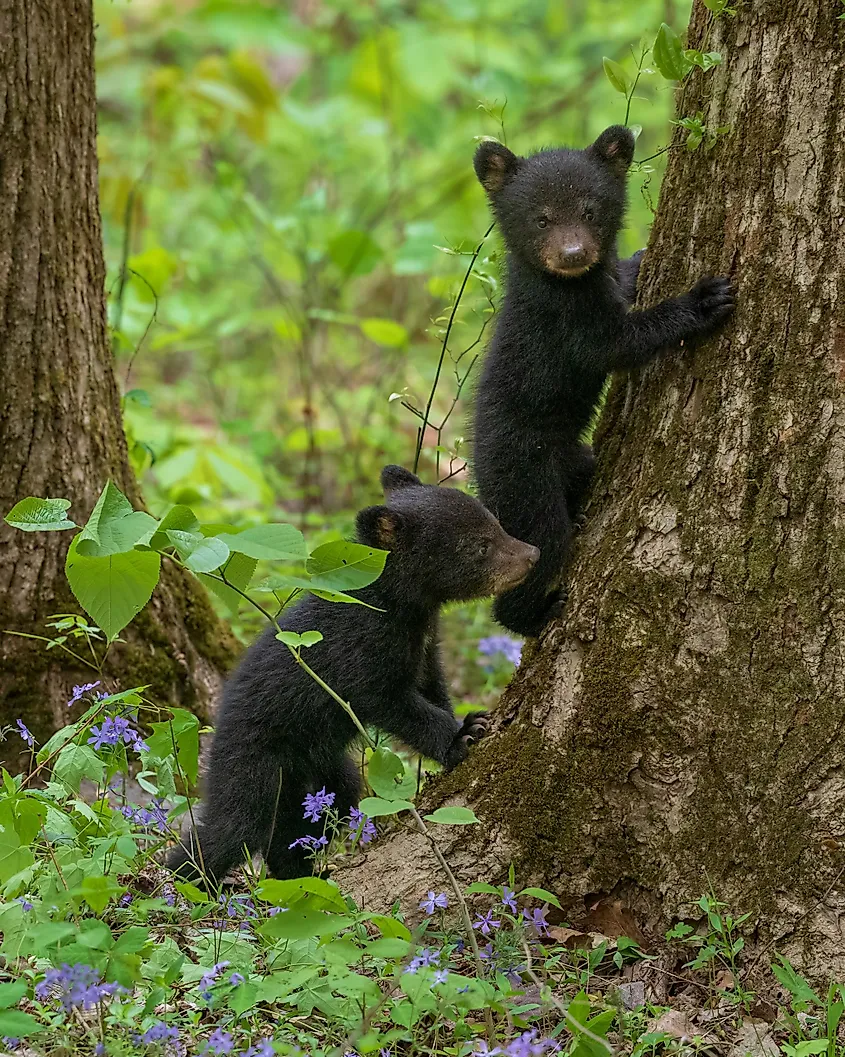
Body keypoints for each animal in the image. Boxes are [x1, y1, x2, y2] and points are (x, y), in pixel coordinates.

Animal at [167, 465, 539, 887]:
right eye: (479, 546)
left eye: (496, 523)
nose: (533, 555)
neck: (398, 605)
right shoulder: (360, 647)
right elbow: (390, 700)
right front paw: (462, 736)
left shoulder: (425, 642)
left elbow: (432, 684)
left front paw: (468, 719)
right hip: (255, 761)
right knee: (232, 826)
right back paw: (178, 879)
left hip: (319, 769)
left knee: (313, 814)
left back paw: (300, 877)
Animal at [471, 126, 736, 638]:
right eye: (541, 218)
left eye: (590, 210)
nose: (573, 254)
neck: (570, 283)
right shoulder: (566, 319)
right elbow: (616, 343)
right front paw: (703, 300)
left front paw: (639, 257)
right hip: (523, 475)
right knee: (542, 542)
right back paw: (535, 615)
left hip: (573, 460)